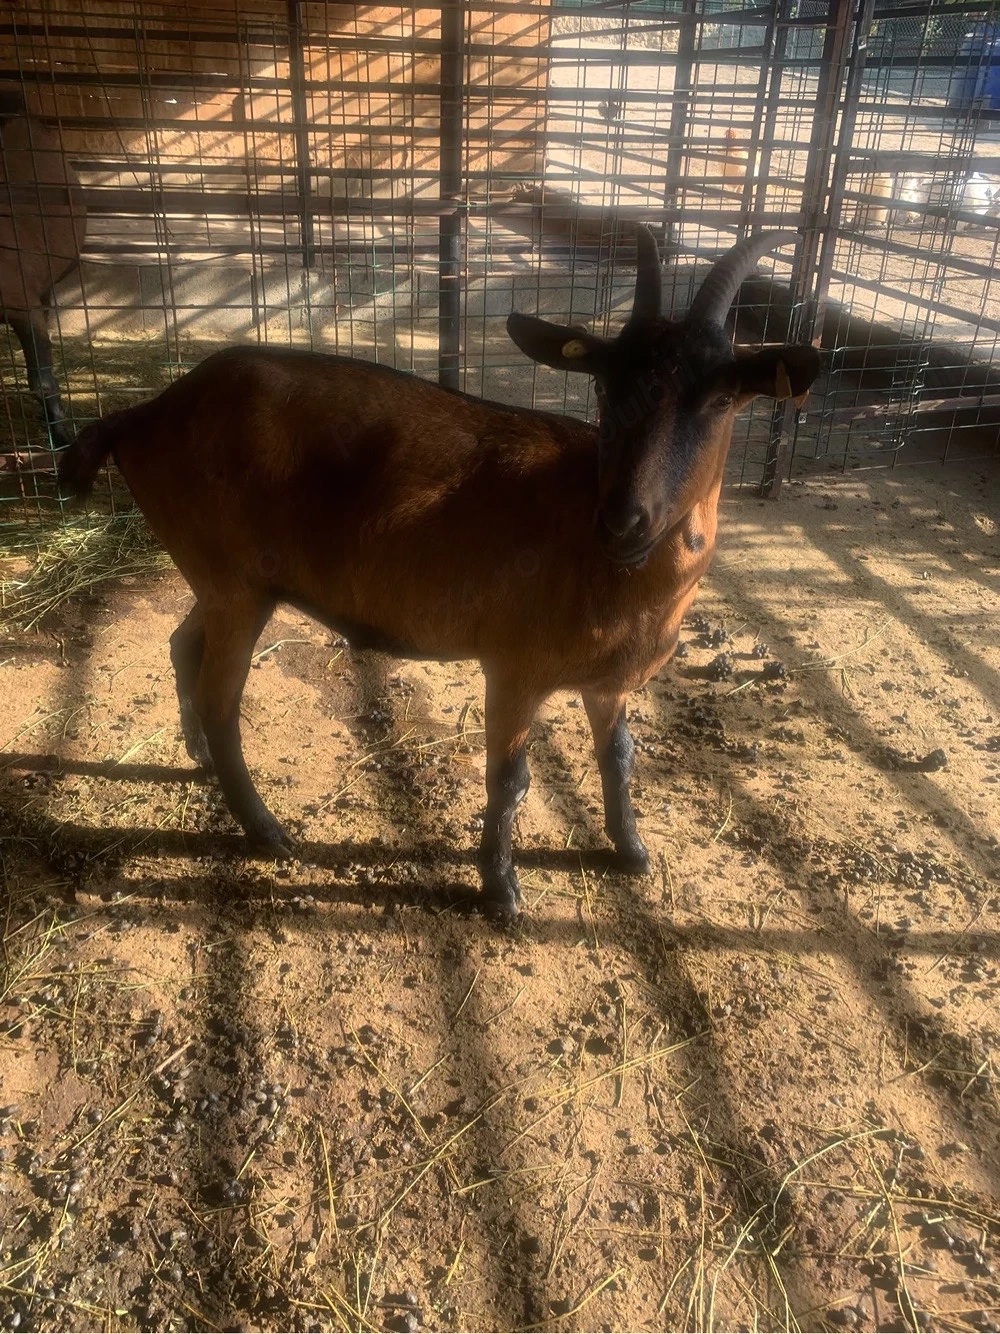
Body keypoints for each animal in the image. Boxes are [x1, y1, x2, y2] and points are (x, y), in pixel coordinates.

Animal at [58, 228, 820, 921]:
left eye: (722, 398)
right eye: (605, 385)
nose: (624, 520)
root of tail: (144, 413)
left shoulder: (607, 682)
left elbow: (620, 757)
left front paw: (630, 851)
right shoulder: (514, 669)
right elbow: (509, 779)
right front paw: (501, 891)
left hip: (226, 584)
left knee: (183, 642)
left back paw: (200, 759)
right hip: (236, 586)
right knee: (224, 702)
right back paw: (267, 831)